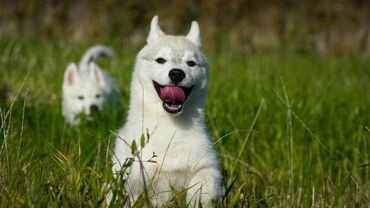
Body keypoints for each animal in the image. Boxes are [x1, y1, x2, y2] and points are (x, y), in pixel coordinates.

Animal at [112, 15, 221, 206]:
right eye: (160, 60)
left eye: (191, 63)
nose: (177, 73)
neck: (171, 128)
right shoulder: (140, 177)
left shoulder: (206, 165)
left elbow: (205, 182)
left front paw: (197, 200)